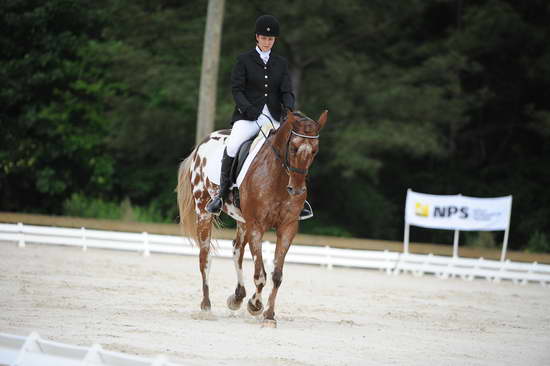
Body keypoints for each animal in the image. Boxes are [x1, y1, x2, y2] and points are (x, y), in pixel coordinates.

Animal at [179, 108, 330, 326]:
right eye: (293, 148)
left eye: (315, 151)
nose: (296, 190)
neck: (279, 178)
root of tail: (202, 144)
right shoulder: (257, 225)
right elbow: (260, 275)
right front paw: (255, 306)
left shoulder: (288, 227)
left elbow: (277, 275)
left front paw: (269, 315)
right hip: (204, 211)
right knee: (205, 257)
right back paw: (206, 307)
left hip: (243, 221)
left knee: (236, 251)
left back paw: (237, 297)